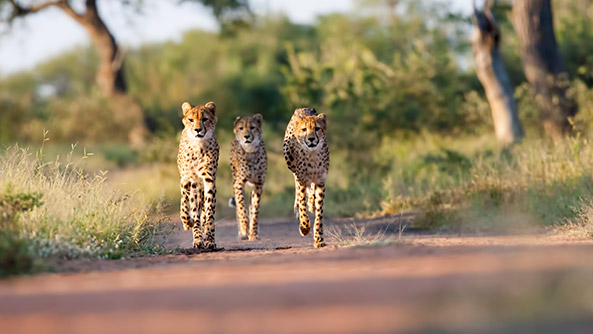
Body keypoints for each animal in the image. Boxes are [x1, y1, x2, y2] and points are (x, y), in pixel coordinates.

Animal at [179, 100, 221, 249]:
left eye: (204, 119)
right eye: (191, 120)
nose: (197, 130)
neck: (198, 146)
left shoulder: (209, 180)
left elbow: (209, 213)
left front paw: (210, 239)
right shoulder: (192, 180)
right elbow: (189, 208)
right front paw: (196, 235)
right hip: (186, 181)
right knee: (185, 202)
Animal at [282, 107, 328, 248]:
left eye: (317, 128)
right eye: (304, 129)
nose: (311, 139)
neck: (312, 154)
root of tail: (303, 108)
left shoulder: (320, 182)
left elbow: (319, 214)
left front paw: (319, 238)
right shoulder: (301, 180)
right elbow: (302, 205)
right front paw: (304, 227)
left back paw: (311, 201)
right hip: (289, 160)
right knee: (297, 189)